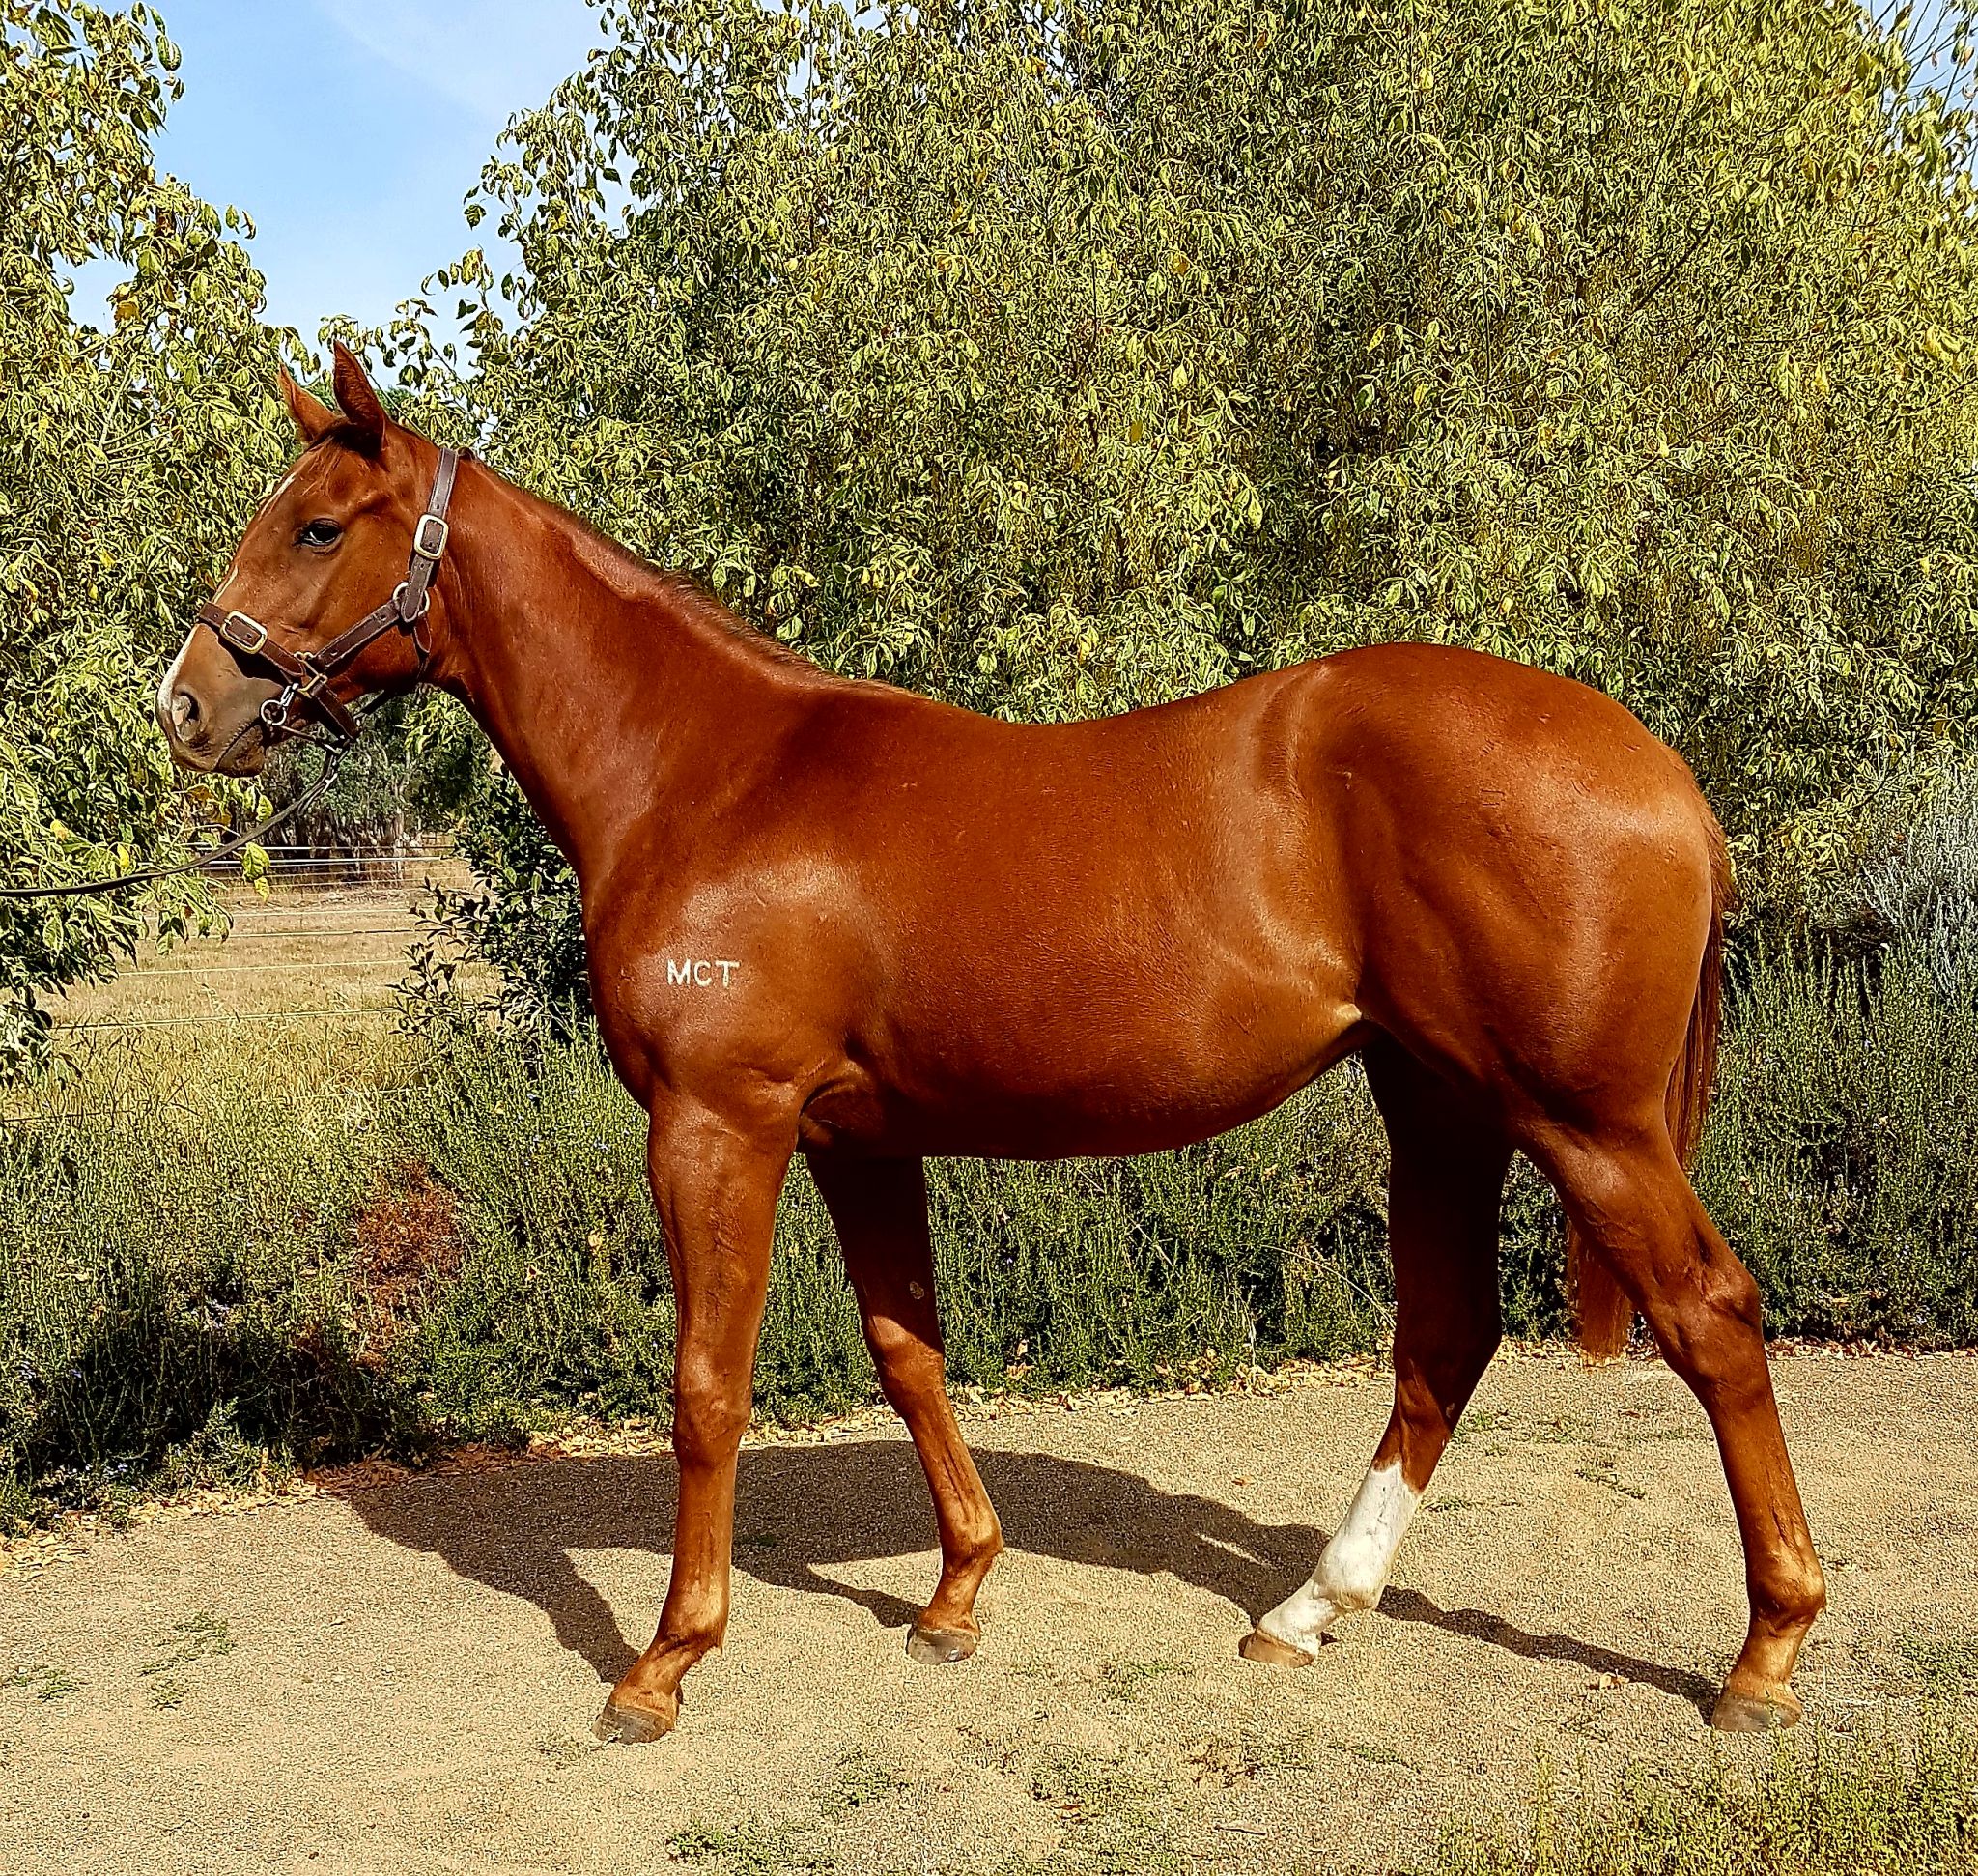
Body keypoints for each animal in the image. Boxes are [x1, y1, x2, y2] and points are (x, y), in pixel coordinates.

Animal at [156, 346, 1824, 1742]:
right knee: (1446, 1335)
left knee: (1711, 1317)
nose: (188, 703)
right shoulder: (858, 1135)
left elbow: (707, 1384)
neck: (710, 773)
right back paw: (1308, 1607)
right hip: (1443, 1102)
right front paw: (956, 1594)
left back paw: (1764, 1653)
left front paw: (665, 1661)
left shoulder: (718, 1121)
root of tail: (1665, 775)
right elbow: (909, 1351)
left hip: (1586, 1120)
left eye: (319, 526)